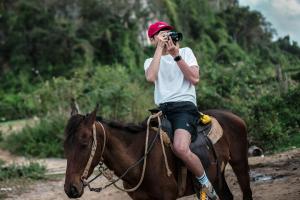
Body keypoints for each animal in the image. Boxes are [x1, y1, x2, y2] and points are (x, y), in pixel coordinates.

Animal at [63, 105, 253, 199]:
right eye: (65, 146)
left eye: (84, 143)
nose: (70, 189)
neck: (140, 161)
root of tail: (235, 117)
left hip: (240, 163)